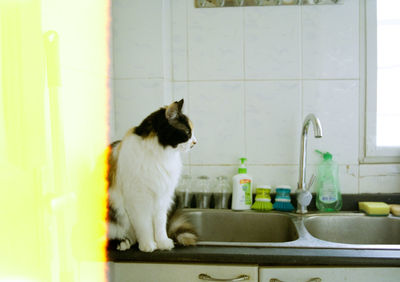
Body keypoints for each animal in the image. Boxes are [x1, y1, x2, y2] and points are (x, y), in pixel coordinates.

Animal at [106, 99, 197, 253]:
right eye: (187, 132)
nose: (195, 142)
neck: (160, 155)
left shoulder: (162, 198)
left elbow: (160, 226)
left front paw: (163, 243)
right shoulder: (138, 199)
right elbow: (144, 225)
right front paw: (148, 244)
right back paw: (122, 242)